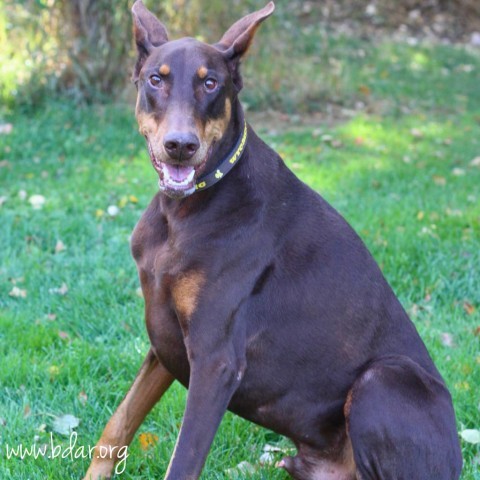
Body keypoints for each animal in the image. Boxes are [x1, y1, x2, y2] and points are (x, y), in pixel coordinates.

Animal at [83, 1, 462, 478]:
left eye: (211, 82)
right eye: (156, 78)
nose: (180, 145)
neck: (182, 214)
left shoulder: (216, 361)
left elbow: (183, 460)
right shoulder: (163, 337)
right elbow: (117, 425)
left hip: (384, 378)